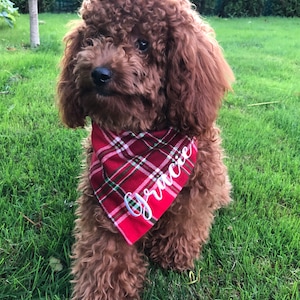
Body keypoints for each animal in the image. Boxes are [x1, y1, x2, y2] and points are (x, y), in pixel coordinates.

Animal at [56, 0, 234, 298]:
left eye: (143, 44)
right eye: (95, 36)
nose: (99, 73)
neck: (142, 138)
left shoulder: (196, 185)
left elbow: (185, 219)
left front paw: (173, 255)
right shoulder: (105, 201)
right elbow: (105, 251)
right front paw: (101, 290)